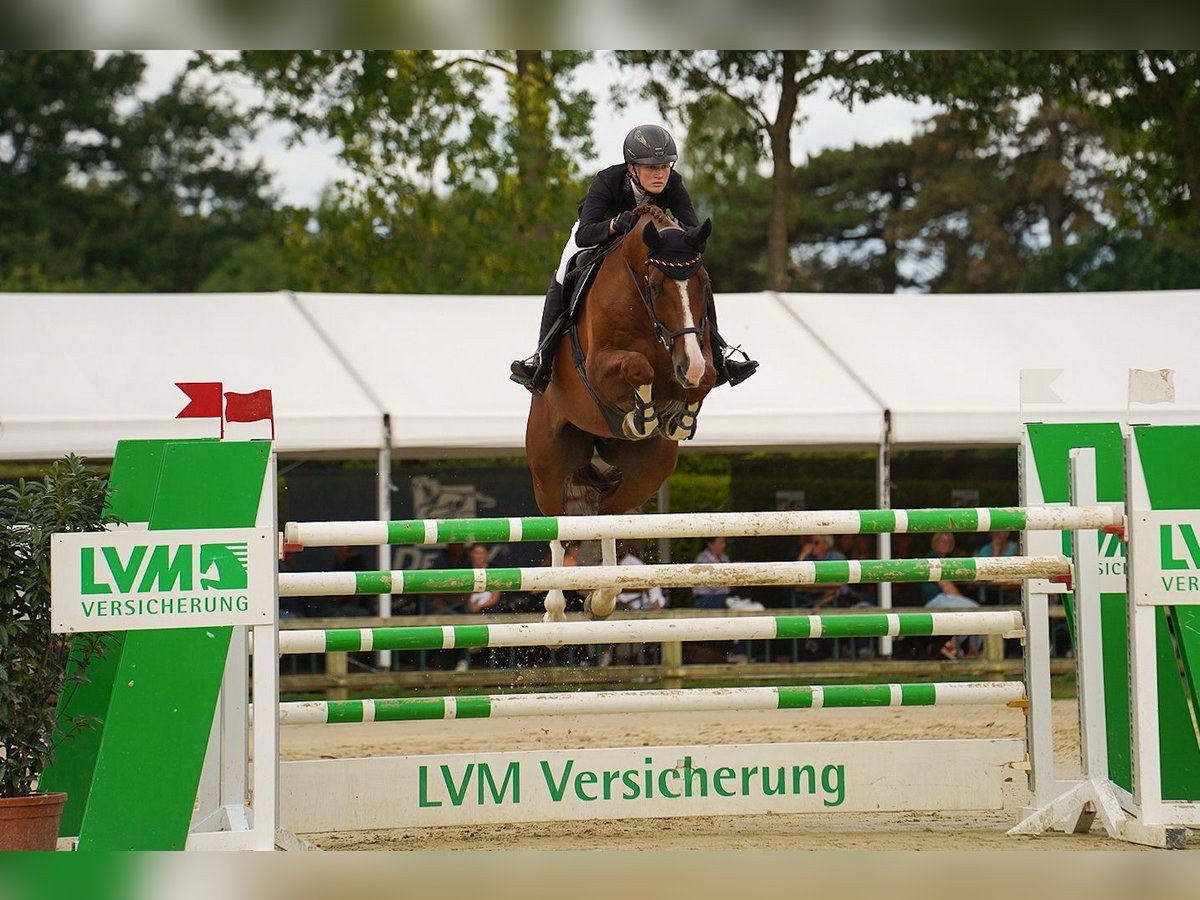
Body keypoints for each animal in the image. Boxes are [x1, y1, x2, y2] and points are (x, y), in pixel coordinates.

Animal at [523, 207, 710, 624]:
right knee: (558, 524)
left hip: (649, 470)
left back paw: (603, 597)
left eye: (703, 283)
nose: (688, 365)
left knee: (608, 512)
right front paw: (642, 416)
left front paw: (676, 418)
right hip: (547, 464)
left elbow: (706, 377)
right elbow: (638, 367)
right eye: (656, 285)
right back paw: (555, 611)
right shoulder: (599, 367)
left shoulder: (698, 353)